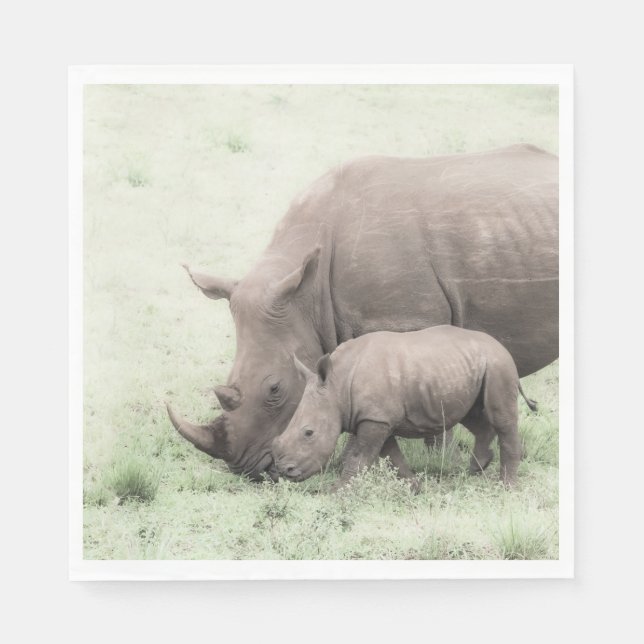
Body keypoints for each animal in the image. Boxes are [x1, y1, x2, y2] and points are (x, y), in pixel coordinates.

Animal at [272, 326, 537, 488]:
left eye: (309, 433)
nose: (286, 471)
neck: (337, 384)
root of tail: (502, 347)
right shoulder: (378, 418)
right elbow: (391, 456)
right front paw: (414, 486)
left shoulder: (375, 418)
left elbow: (360, 458)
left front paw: (337, 492)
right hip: (472, 366)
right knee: (471, 415)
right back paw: (475, 469)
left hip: (498, 364)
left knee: (501, 418)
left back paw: (506, 486)